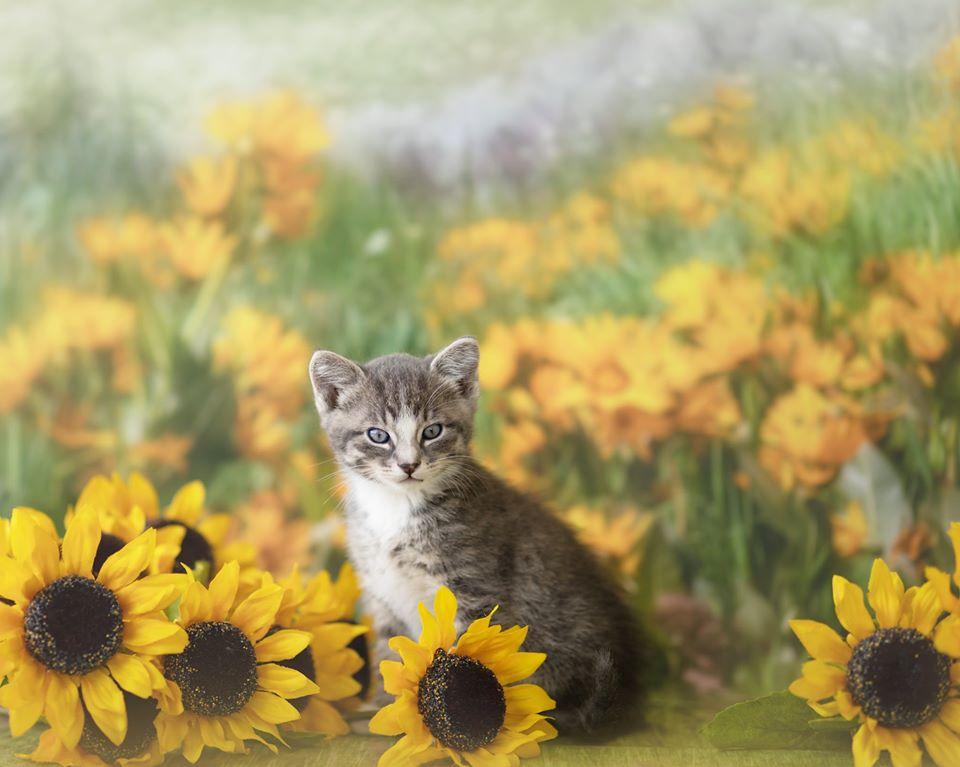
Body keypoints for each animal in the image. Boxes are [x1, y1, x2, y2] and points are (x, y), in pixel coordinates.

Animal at [310, 340, 644, 736]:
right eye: (378, 435)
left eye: (432, 431)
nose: (409, 465)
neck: (397, 508)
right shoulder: (383, 592)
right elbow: (391, 654)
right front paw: (385, 711)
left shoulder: (472, 588)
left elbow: (462, 654)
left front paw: (451, 726)